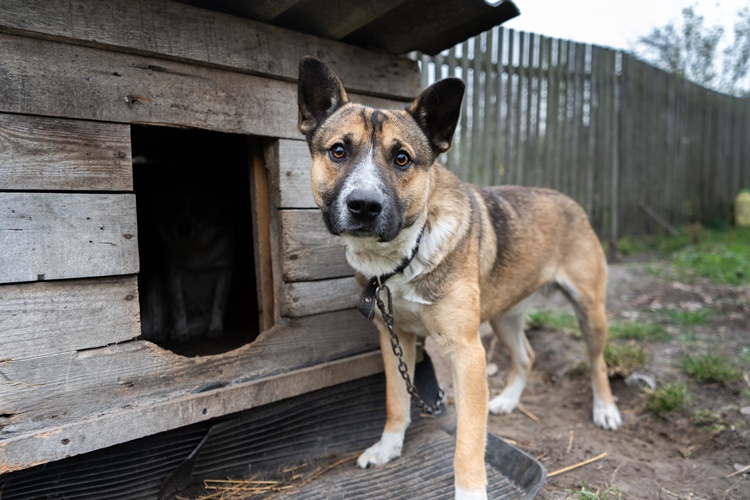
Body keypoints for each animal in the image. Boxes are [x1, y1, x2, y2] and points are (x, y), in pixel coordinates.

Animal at [134, 127, 262, 358]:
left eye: (198, 211)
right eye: (173, 210)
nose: (184, 228)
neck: (197, 250)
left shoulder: (223, 274)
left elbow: (218, 306)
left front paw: (216, 330)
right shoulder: (172, 276)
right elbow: (179, 310)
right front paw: (181, 333)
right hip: (157, 289)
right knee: (159, 321)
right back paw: (162, 334)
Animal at [300, 56, 624, 498]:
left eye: (402, 159)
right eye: (338, 151)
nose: (364, 205)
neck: (405, 256)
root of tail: (570, 201)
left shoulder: (467, 352)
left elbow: (469, 442)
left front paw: (470, 491)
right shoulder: (395, 337)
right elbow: (396, 402)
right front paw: (388, 447)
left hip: (589, 312)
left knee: (595, 362)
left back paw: (605, 408)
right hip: (503, 317)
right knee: (527, 356)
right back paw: (507, 401)